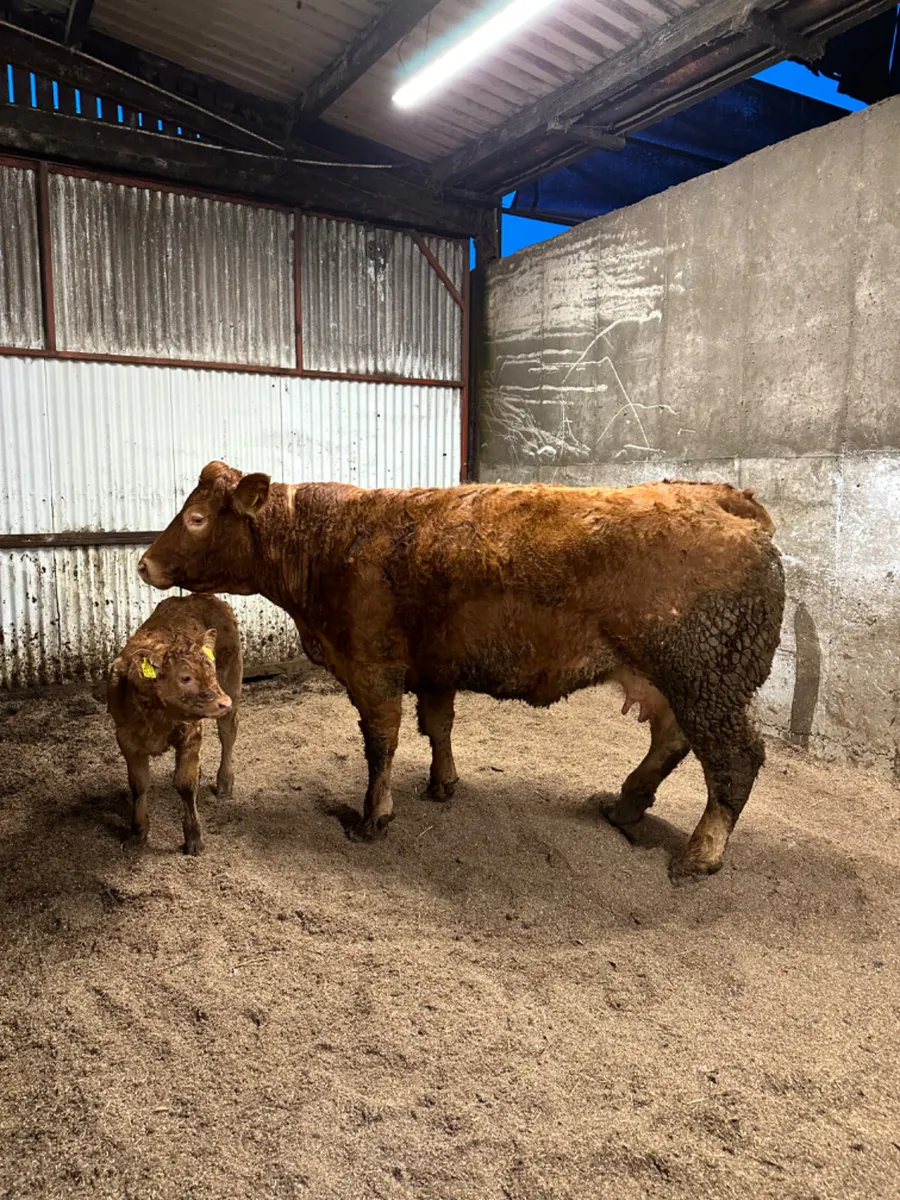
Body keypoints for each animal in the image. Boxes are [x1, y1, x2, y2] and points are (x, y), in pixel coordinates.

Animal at [107, 593, 242, 855]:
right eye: (185, 677)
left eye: (211, 671)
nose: (223, 702)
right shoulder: (126, 738)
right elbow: (138, 784)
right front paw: (137, 834)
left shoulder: (191, 734)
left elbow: (185, 784)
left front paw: (194, 840)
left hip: (232, 677)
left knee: (228, 733)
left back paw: (224, 783)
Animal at [138, 463, 784, 881]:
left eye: (196, 519)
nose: (144, 563)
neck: (330, 540)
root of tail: (729, 498)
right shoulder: (434, 664)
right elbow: (438, 725)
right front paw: (442, 784)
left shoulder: (370, 665)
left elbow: (382, 741)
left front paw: (374, 816)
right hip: (683, 681)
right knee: (673, 740)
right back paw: (626, 805)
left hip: (707, 679)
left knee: (734, 761)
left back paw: (699, 856)